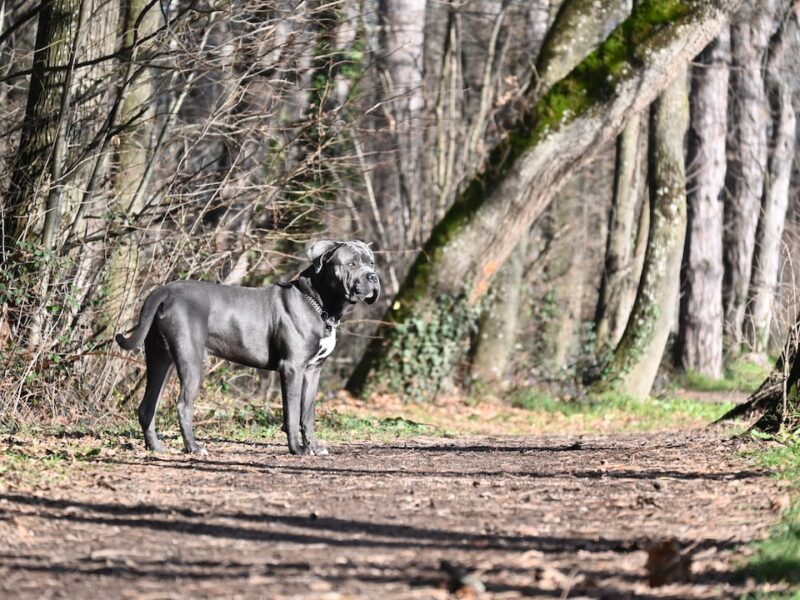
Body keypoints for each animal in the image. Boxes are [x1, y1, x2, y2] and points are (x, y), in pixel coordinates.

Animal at [115, 239, 382, 454]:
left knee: (147, 406)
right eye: (351, 264)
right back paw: (194, 448)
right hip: (190, 360)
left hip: (161, 359)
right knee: (182, 406)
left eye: (371, 262)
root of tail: (163, 290)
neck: (320, 304)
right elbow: (293, 413)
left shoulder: (313, 371)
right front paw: (297, 449)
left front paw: (314, 447)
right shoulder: (292, 368)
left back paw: (156, 447)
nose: (373, 277)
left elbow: (307, 414)